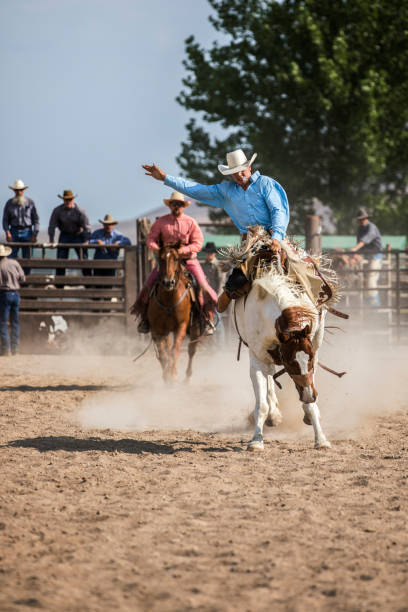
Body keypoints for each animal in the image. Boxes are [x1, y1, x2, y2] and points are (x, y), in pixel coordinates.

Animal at [148, 243, 202, 382]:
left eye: (176, 259)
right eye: (160, 259)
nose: (168, 282)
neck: (169, 300)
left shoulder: (181, 326)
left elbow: (174, 351)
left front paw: (172, 376)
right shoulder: (156, 329)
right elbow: (163, 354)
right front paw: (167, 375)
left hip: (195, 328)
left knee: (191, 350)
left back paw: (186, 378)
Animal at [236, 272, 332, 450]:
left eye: (310, 357)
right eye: (290, 362)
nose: (309, 395)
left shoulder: (313, 350)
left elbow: (310, 404)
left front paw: (321, 439)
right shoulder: (257, 358)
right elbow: (262, 405)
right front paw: (256, 440)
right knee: (269, 377)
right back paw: (274, 415)